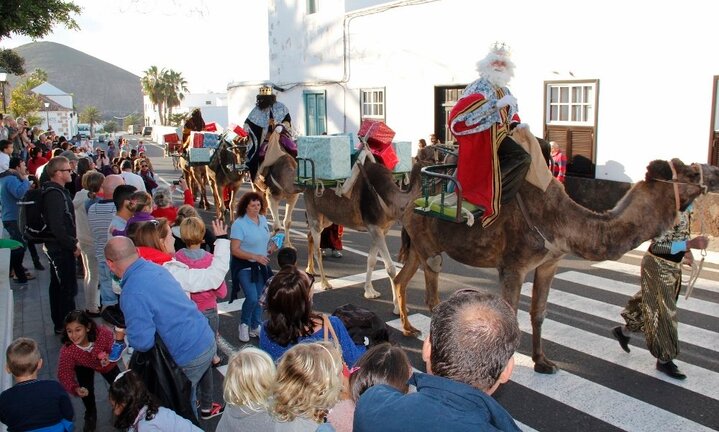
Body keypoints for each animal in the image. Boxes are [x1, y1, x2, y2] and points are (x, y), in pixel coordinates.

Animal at [300, 154, 424, 300]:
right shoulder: (374, 227)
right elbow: (390, 267)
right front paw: (396, 303)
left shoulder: (382, 229)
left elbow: (372, 259)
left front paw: (370, 291)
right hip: (313, 212)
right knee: (317, 249)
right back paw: (325, 283)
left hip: (327, 218)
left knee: (310, 235)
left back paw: (310, 269)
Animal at [394, 147, 719, 372]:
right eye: (689, 171)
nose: (714, 169)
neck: (561, 221)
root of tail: (410, 201)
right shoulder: (513, 266)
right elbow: (510, 315)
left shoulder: (549, 264)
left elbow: (539, 313)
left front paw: (542, 362)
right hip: (428, 245)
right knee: (433, 294)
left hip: (417, 247)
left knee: (401, 278)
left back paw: (409, 328)